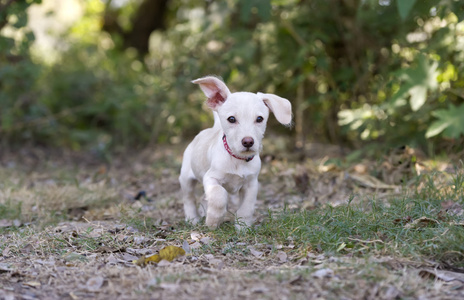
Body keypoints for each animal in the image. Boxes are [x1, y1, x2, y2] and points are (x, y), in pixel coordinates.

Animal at [179, 75, 292, 230]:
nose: (248, 142)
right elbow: (219, 196)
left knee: (202, 198)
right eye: (231, 119)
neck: (237, 159)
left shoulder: (251, 184)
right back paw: (193, 218)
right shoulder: (211, 178)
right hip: (186, 179)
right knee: (188, 199)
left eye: (259, 119)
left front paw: (243, 227)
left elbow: (246, 207)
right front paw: (213, 220)